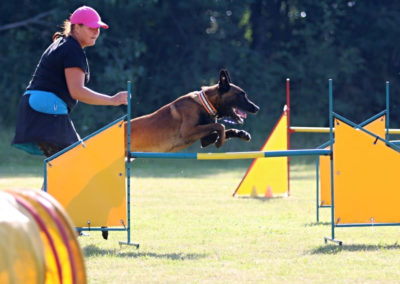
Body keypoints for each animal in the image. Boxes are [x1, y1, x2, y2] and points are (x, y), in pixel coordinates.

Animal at [126, 70, 260, 152]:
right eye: (241, 95)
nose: (257, 108)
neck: (205, 105)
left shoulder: (204, 139)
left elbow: (224, 129)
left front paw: (241, 133)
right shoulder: (188, 131)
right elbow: (220, 126)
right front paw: (220, 141)